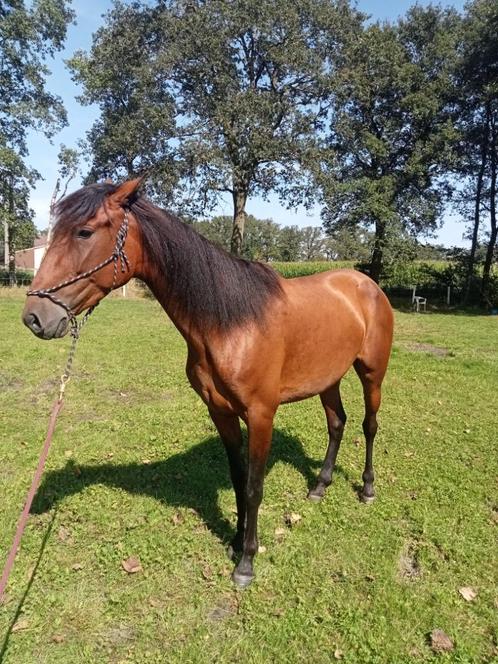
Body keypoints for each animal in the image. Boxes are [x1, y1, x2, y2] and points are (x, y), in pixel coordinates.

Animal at [24, 178, 392, 588]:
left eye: (84, 232)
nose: (35, 316)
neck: (230, 324)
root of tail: (364, 283)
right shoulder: (221, 412)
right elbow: (237, 478)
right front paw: (235, 540)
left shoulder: (261, 415)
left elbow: (254, 486)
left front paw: (246, 562)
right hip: (329, 379)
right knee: (337, 423)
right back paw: (320, 487)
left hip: (372, 374)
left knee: (369, 425)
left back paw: (368, 488)